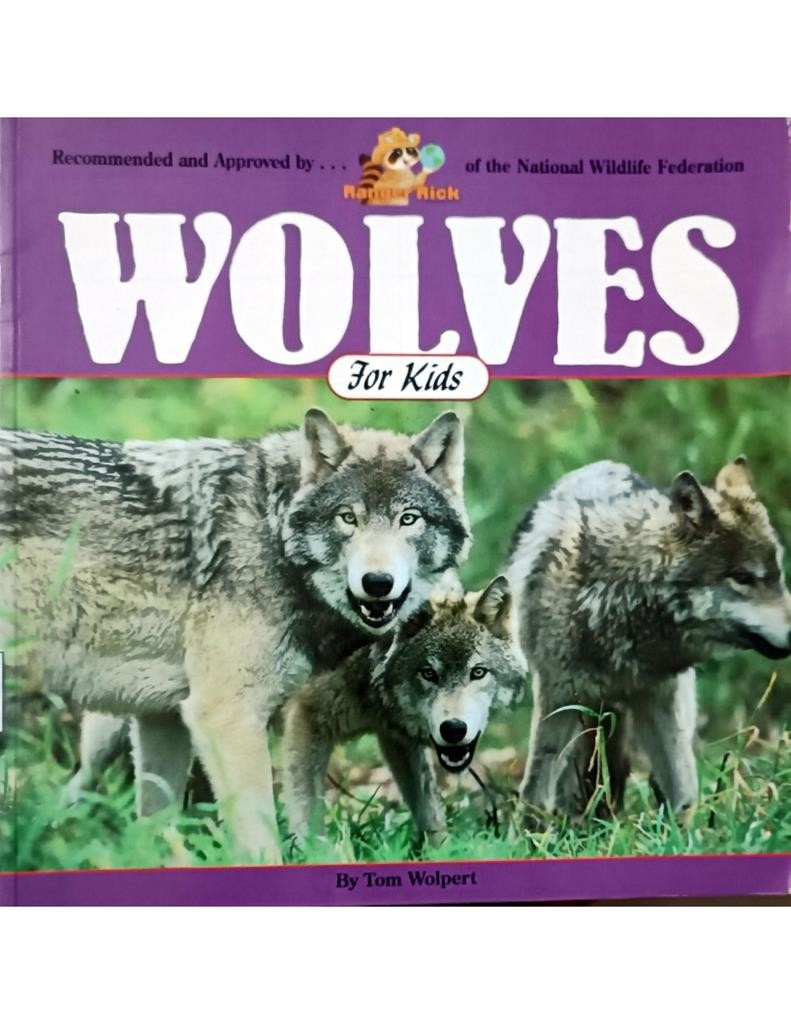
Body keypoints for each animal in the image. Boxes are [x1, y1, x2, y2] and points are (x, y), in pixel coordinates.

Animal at [0, 408, 470, 862]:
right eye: (347, 518)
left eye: (408, 519)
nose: (377, 582)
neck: (272, 533)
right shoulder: (226, 715)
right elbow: (262, 844)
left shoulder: (164, 716)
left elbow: (153, 831)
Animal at [282, 576, 526, 843]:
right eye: (428, 673)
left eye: (478, 672)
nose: (453, 729)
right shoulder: (307, 714)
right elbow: (309, 819)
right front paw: (317, 851)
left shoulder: (397, 737)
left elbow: (429, 809)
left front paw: (441, 848)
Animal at [506, 456, 791, 822]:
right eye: (742, 578)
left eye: (778, 575)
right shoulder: (558, 697)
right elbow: (534, 793)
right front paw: (529, 833)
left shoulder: (659, 697)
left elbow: (683, 792)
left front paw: (682, 833)